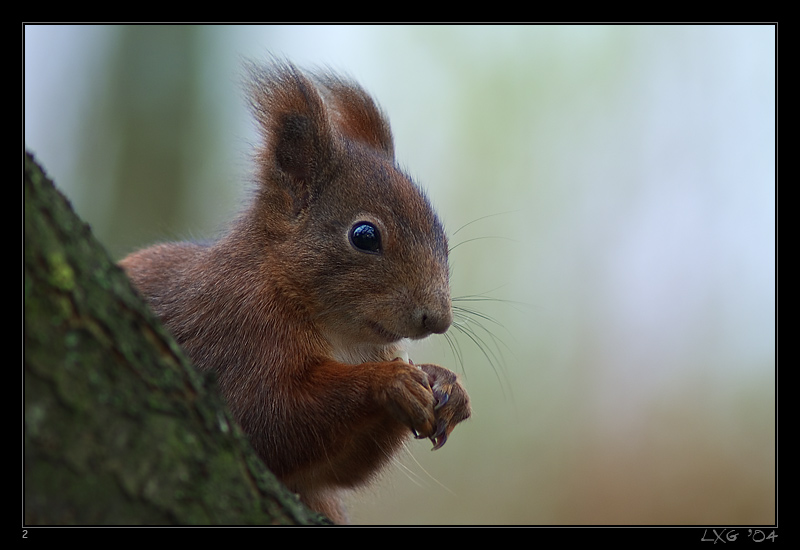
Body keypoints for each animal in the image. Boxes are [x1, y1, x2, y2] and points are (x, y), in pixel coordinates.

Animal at [119, 61, 468, 528]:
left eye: (441, 233)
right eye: (365, 236)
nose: (438, 318)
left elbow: (335, 471)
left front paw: (445, 383)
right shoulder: (234, 332)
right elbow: (269, 418)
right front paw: (389, 381)